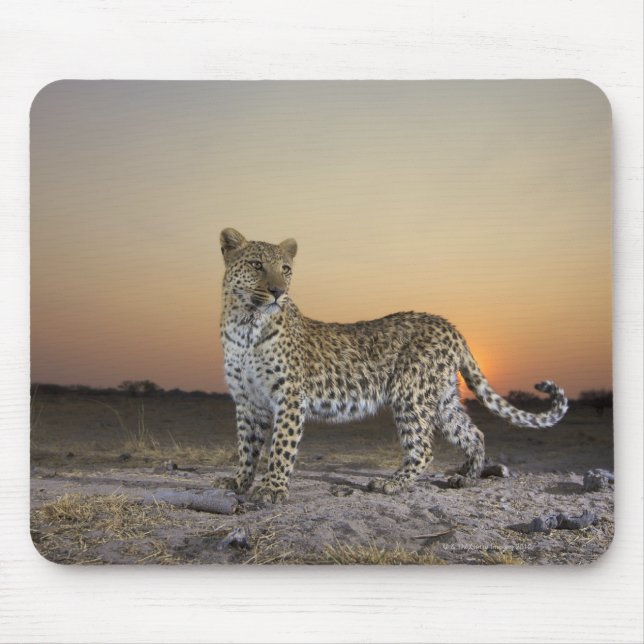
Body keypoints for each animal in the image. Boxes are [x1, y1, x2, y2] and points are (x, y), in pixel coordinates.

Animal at [218, 227, 568, 504]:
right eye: (256, 264)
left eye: (286, 269)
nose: (278, 292)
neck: (245, 325)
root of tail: (450, 325)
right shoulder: (247, 401)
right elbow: (246, 445)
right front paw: (239, 482)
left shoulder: (289, 397)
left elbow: (281, 446)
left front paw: (272, 489)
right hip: (442, 397)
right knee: (473, 432)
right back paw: (466, 478)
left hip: (409, 392)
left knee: (423, 446)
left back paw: (392, 483)